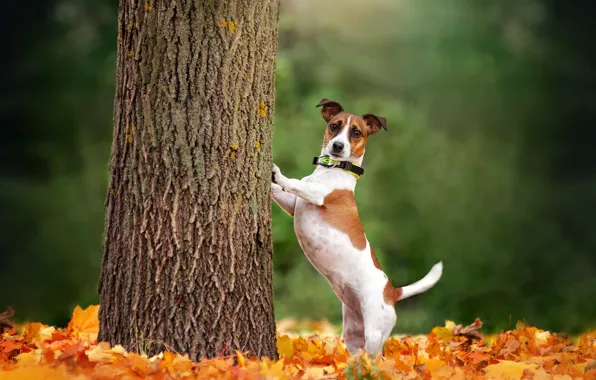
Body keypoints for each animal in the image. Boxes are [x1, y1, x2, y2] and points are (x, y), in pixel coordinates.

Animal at [272, 98, 442, 356]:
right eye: (334, 125)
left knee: (376, 357)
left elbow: (293, 184)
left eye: (356, 132)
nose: (338, 146)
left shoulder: (316, 195)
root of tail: (392, 292)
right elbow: (282, 193)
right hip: (352, 332)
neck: (333, 170)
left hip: (374, 332)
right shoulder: (293, 205)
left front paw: (277, 173)